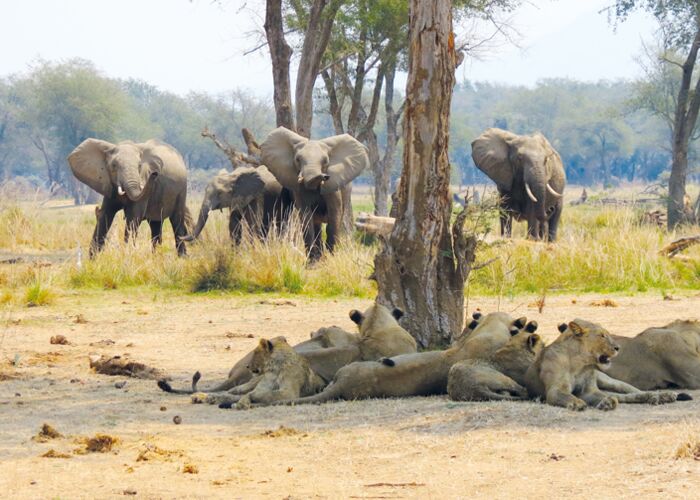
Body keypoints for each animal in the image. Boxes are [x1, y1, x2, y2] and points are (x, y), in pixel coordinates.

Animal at [524, 319, 683, 411]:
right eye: (602, 336)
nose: (618, 347)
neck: (579, 364)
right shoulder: (555, 390)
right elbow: (567, 396)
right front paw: (577, 403)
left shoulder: (589, 390)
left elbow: (604, 396)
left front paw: (606, 403)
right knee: (622, 396)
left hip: (610, 381)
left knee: (632, 391)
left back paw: (663, 396)